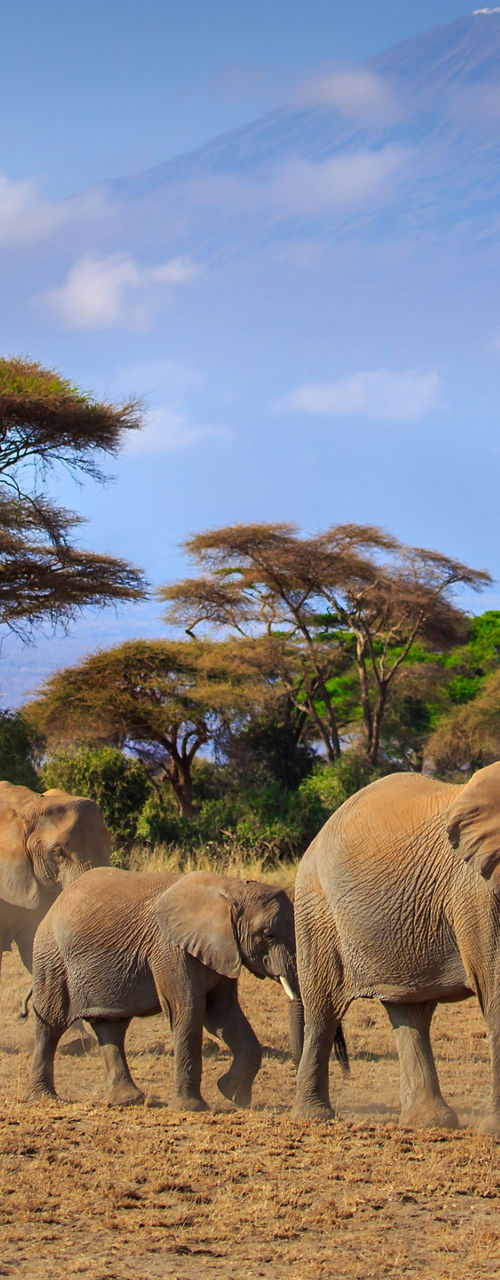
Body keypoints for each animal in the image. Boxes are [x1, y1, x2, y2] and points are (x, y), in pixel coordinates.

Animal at [28, 866, 303, 1110]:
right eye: (268, 934)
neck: (230, 889)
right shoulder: (170, 949)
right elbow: (188, 1011)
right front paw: (192, 1108)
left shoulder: (222, 951)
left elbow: (223, 1015)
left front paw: (233, 1095)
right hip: (52, 958)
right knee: (51, 1023)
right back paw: (45, 1098)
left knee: (111, 1026)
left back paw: (129, 1100)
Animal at [292, 763, 500, 1134]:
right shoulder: (475, 889)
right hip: (315, 909)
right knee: (323, 1009)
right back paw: (313, 1117)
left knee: (410, 1011)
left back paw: (429, 1123)